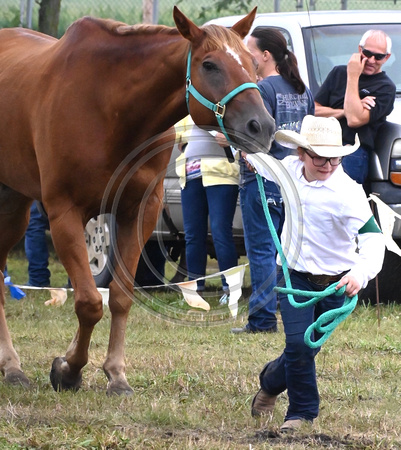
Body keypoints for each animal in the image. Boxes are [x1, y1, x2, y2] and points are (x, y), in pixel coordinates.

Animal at [0, 6, 274, 394]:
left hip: (14, 203)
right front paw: (69, 370)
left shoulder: (137, 213)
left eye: (251, 61)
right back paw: (12, 367)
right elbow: (88, 302)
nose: (261, 127)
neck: (110, 107)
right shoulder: (64, 213)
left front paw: (114, 373)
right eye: (209, 65)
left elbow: (119, 295)